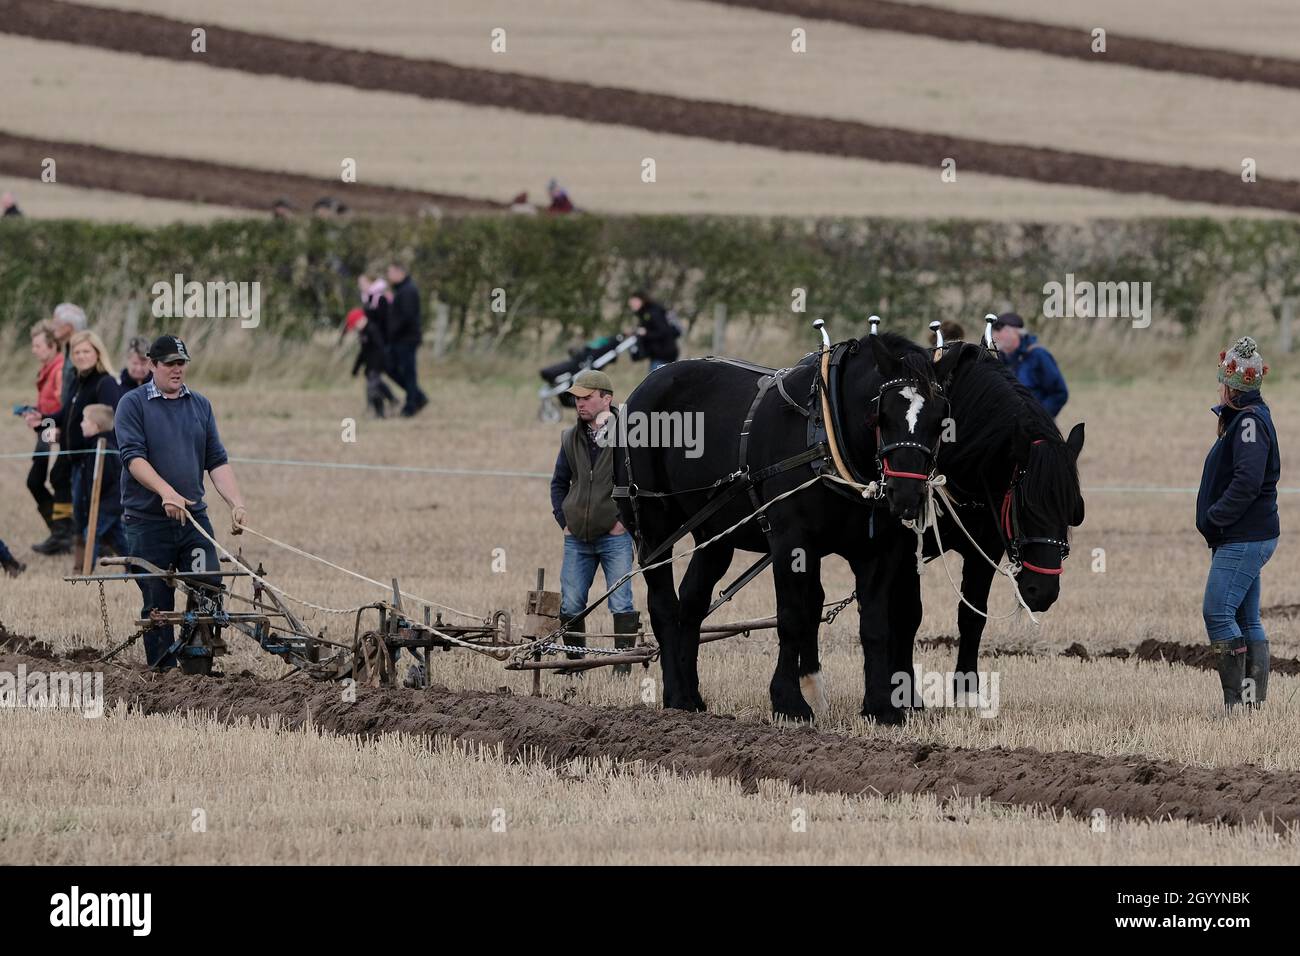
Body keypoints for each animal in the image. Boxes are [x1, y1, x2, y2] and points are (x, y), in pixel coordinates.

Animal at [613, 332, 961, 723]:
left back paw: (692, 695)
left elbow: (874, 625)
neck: (826, 431)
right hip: (652, 530)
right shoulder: (790, 541)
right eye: (880, 416)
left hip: (713, 536)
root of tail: (644, 388)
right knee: (663, 606)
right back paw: (676, 696)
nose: (906, 496)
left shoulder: (877, 550)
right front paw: (789, 702)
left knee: (691, 603)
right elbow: (792, 617)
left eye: (941, 420)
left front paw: (881, 707)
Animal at [894, 343, 1086, 697]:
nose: (1042, 592)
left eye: (1074, 512)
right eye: (1025, 508)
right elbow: (904, 613)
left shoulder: (984, 548)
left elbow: (972, 615)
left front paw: (966, 689)